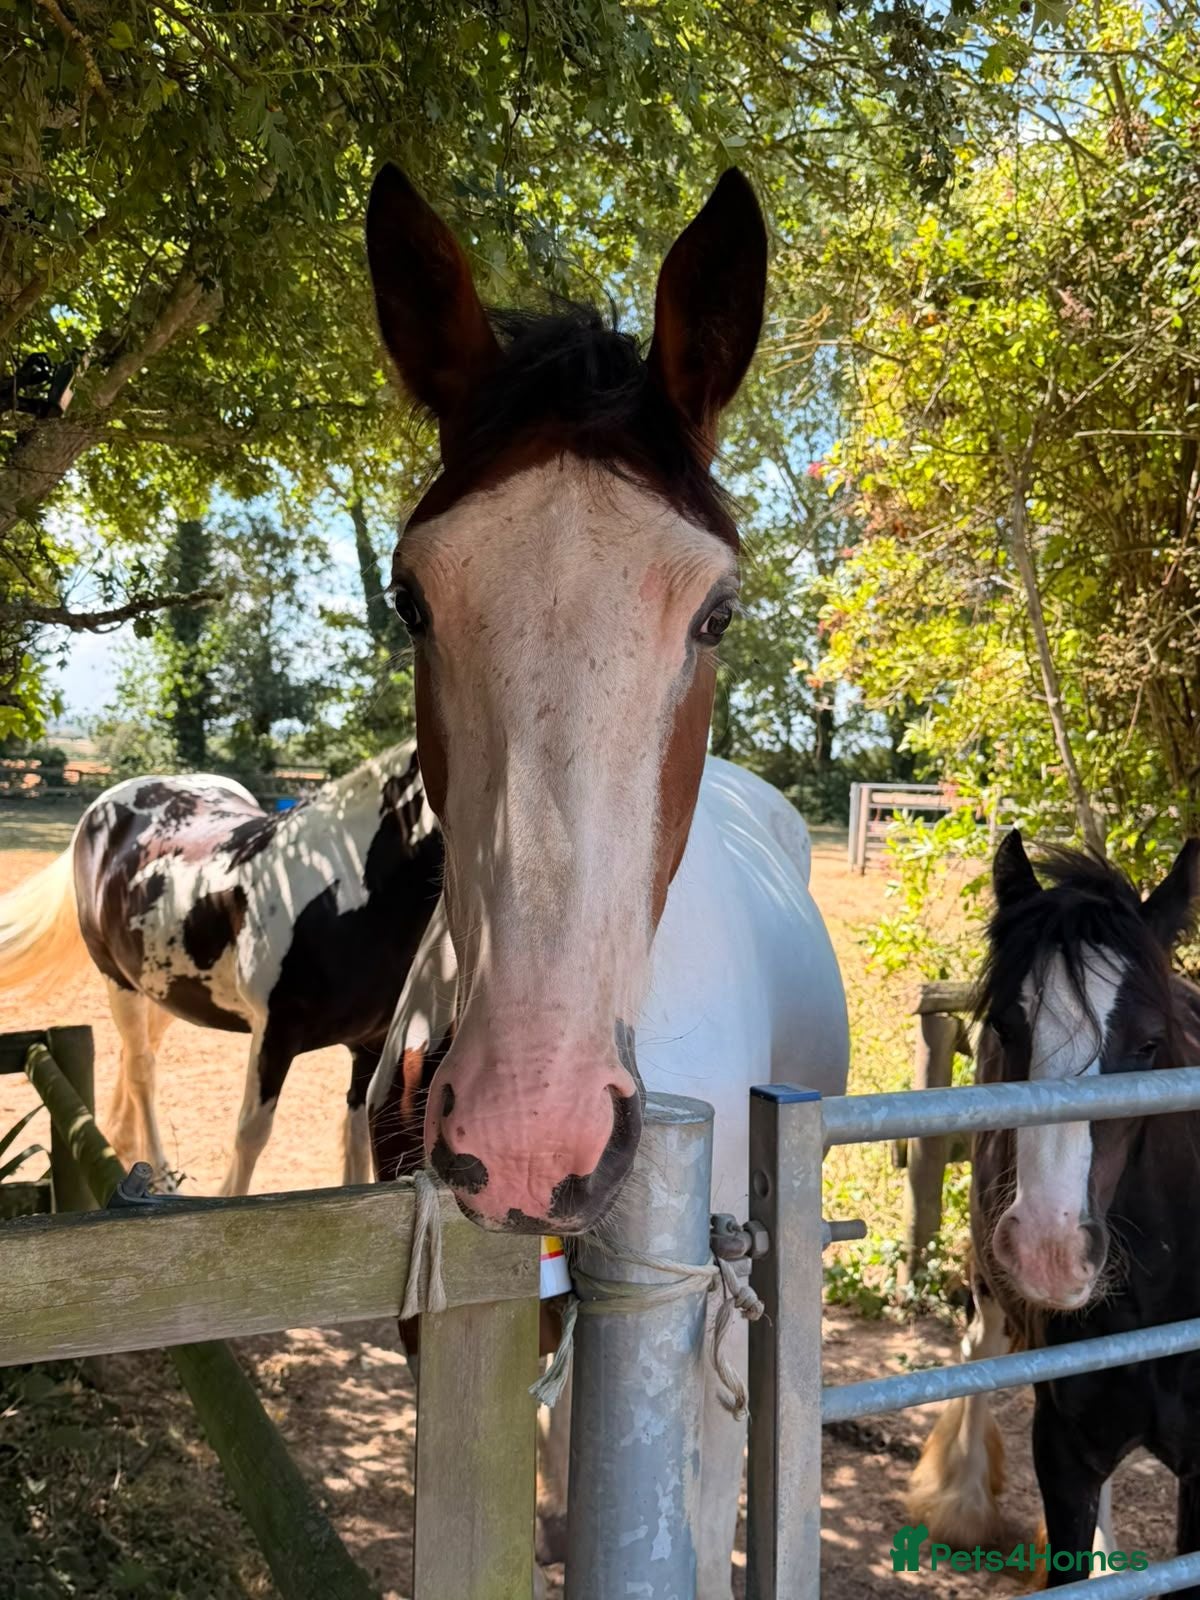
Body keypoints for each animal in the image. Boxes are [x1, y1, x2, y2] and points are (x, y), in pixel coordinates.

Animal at [0, 743, 443, 1194]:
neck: (344, 888)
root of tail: (101, 808)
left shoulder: (369, 1042)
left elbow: (355, 1139)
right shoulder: (275, 1034)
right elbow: (251, 1134)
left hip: (165, 989)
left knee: (136, 1054)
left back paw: (125, 1146)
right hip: (118, 980)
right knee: (143, 1071)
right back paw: (160, 1175)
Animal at [908, 830, 1200, 1587]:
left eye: (1149, 1044)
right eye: (1007, 1027)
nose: (1050, 1248)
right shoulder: (1064, 1449)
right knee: (976, 1349)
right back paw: (962, 1500)